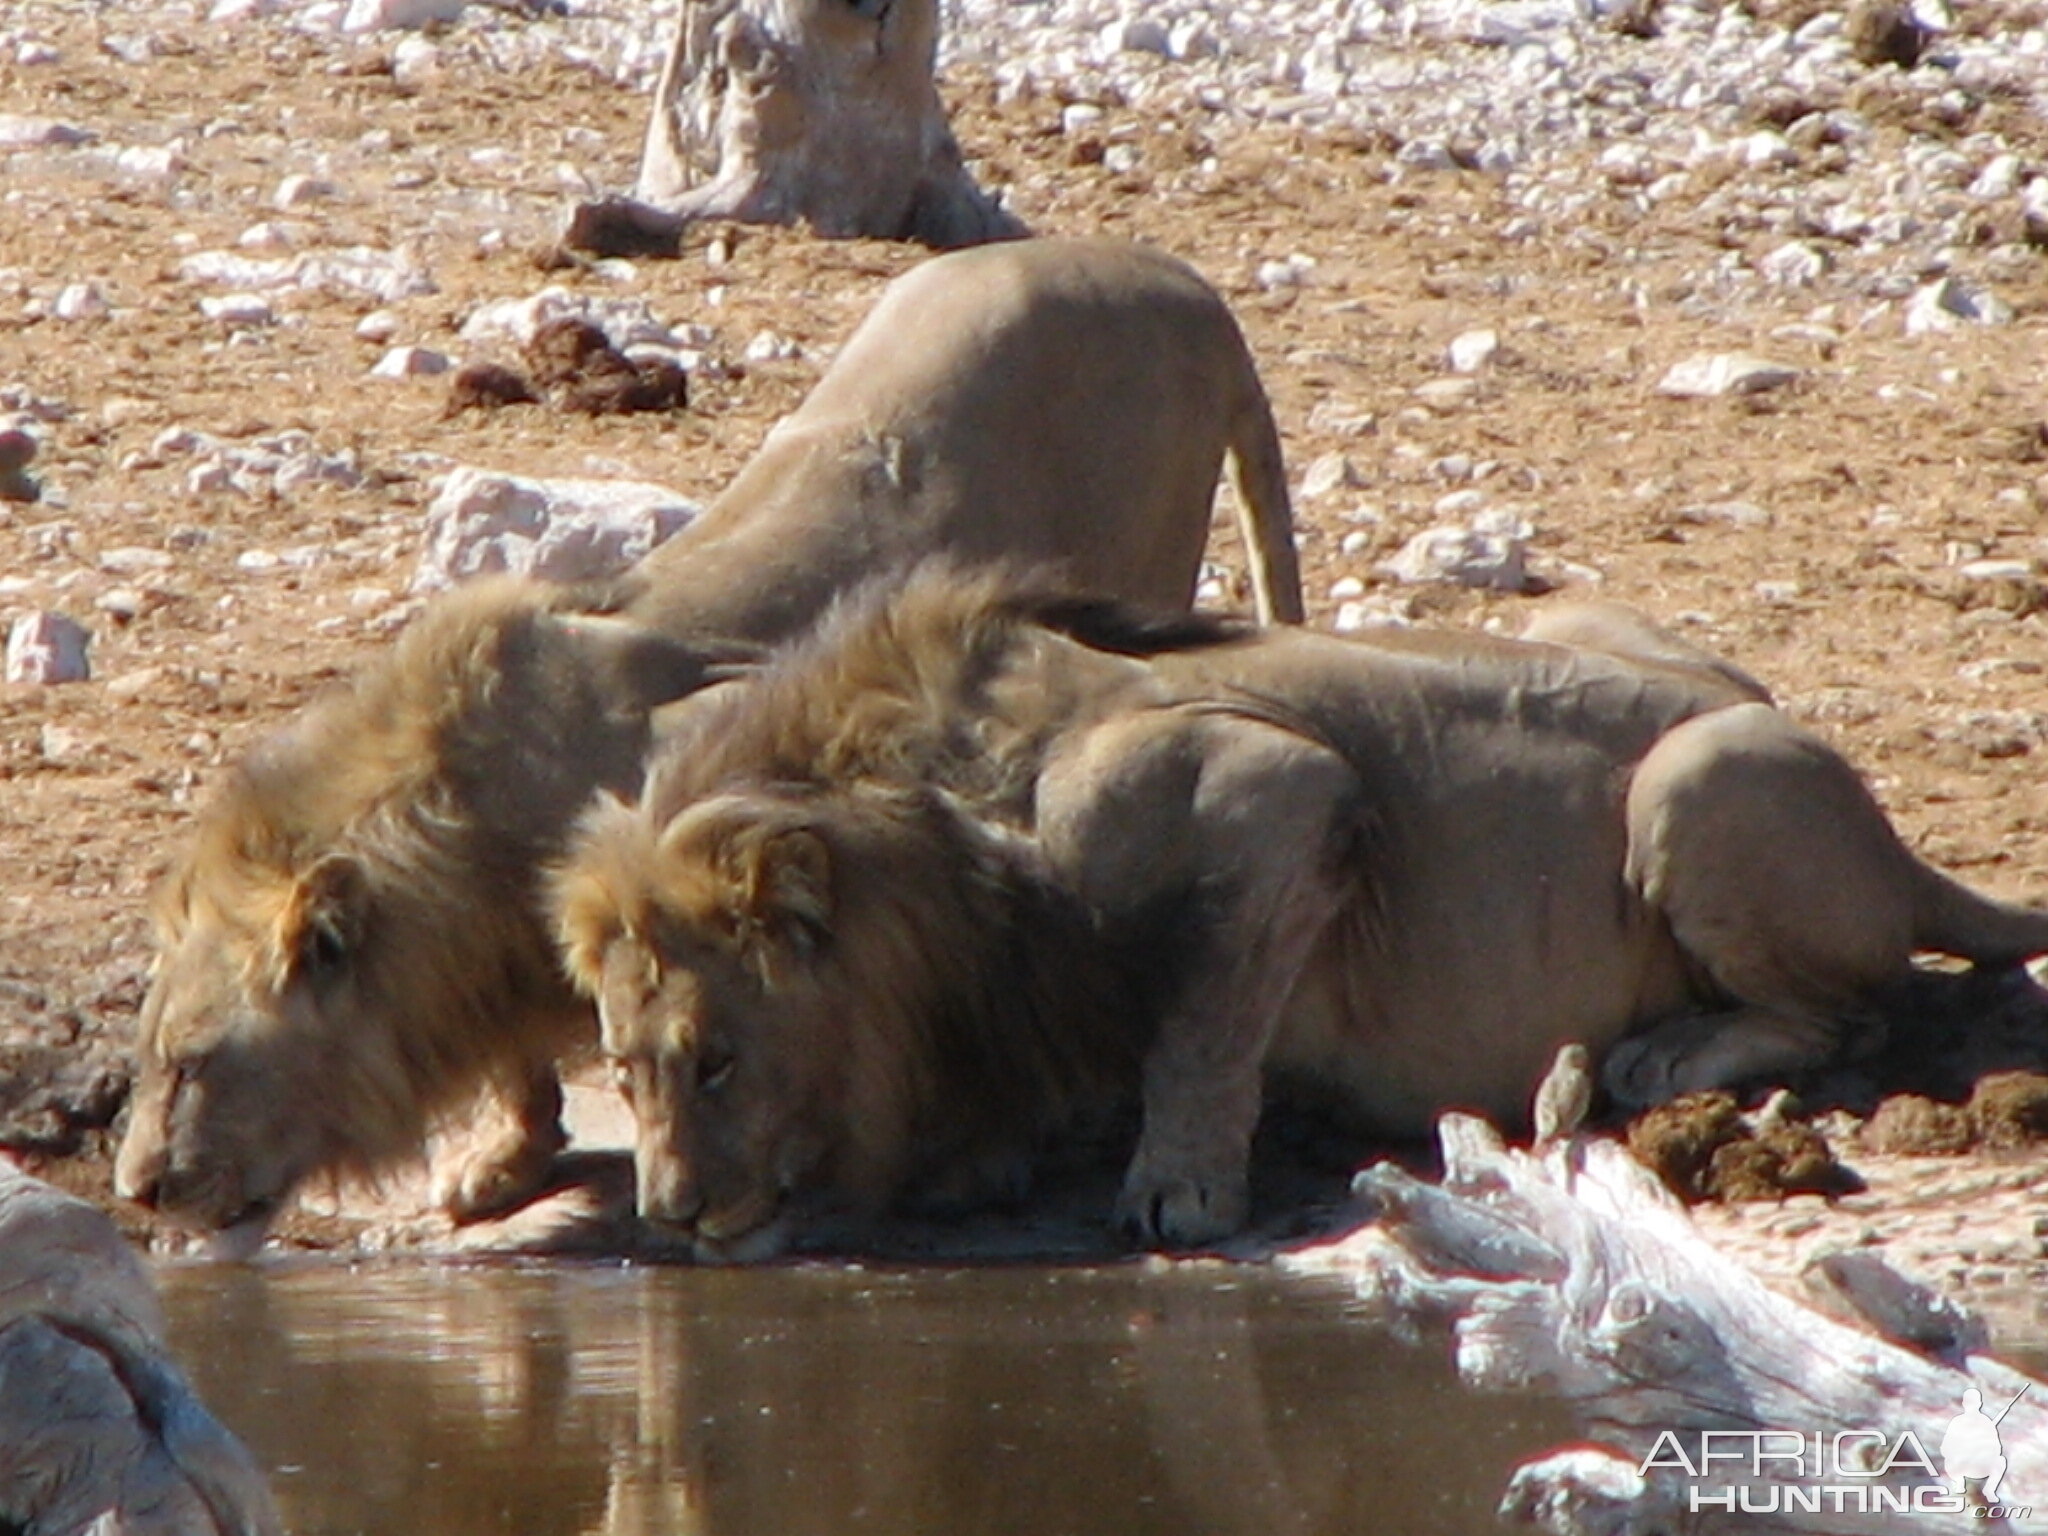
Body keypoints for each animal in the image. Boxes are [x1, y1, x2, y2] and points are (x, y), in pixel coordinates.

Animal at [116, 240, 1294, 1253]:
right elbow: (521, 1064)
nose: (138, 1188)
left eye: (191, 1062)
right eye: (154, 1060)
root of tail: (1186, 284)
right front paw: (501, 1160)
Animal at [552, 573, 2048, 1253]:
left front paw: (1178, 1189)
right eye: (620, 1070)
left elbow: (1203, 1017)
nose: (668, 1215)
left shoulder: (1274, 787)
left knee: (1855, 1011)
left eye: (718, 1059)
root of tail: (1895, 841)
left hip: (1700, 777)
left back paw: (1666, 1054)